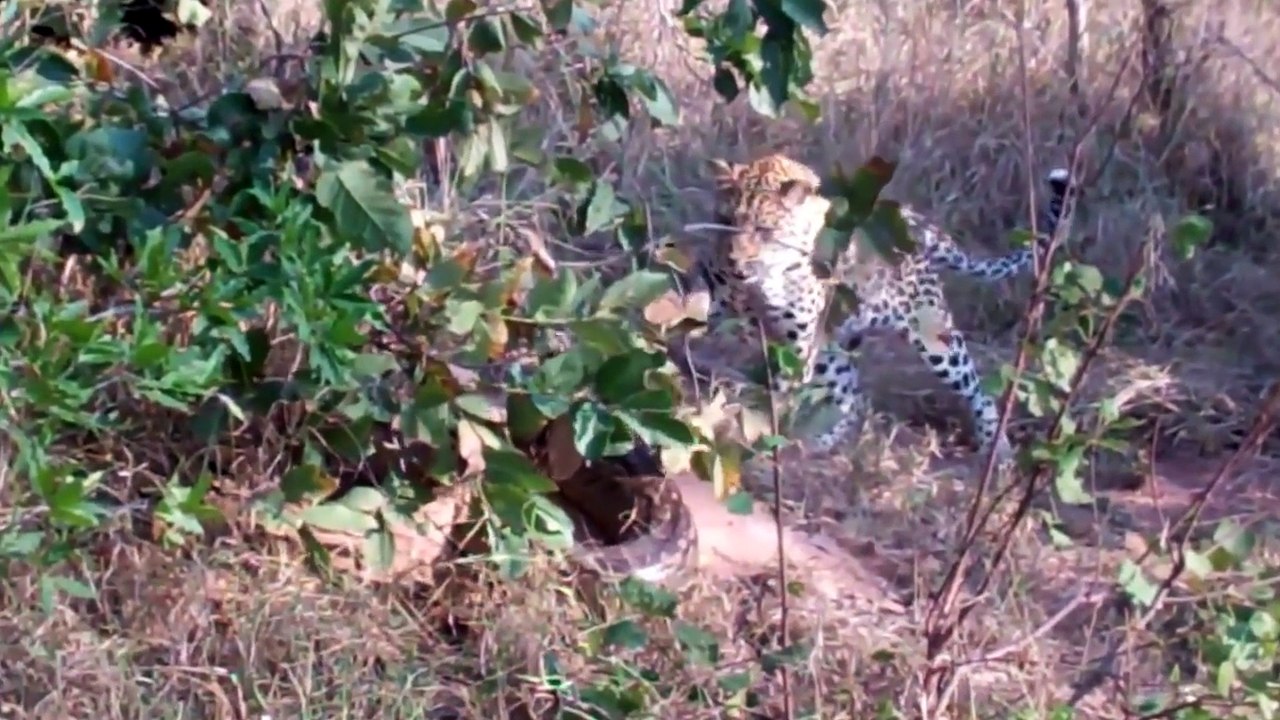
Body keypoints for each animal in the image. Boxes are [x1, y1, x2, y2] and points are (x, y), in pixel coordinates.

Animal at [693, 152, 1074, 462]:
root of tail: (921, 227)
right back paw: (819, 441)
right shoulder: (713, 303)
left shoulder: (797, 345)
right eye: (725, 220)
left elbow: (778, 395)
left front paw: (756, 437)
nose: (735, 263)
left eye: (764, 229)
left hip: (937, 339)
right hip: (834, 348)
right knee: (851, 399)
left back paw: (999, 452)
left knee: (977, 392)